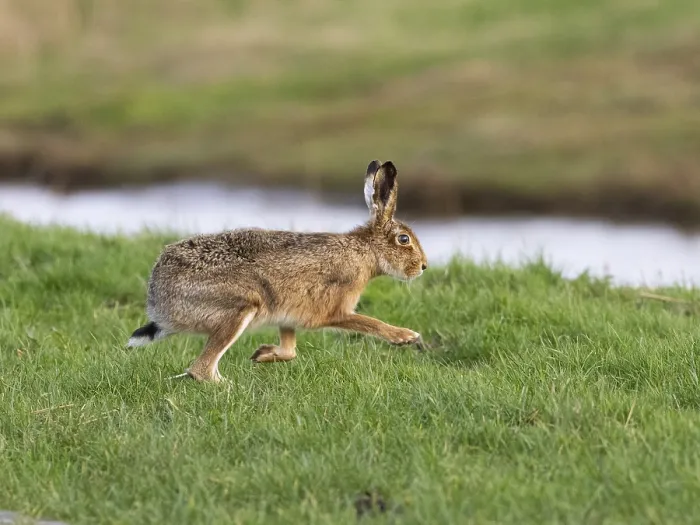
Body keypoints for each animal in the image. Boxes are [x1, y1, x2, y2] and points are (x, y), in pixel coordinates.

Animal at [126, 160, 428, 382]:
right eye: (404, 239)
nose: (423, 266)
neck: (365, 252)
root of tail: (158, 304)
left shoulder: (288, 313)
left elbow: (290, 348)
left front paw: (262, 354)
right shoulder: (335, 309)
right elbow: (368, 322)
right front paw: (406, 337)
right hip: (240, 307)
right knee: (201, 370)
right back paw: (230, 387)